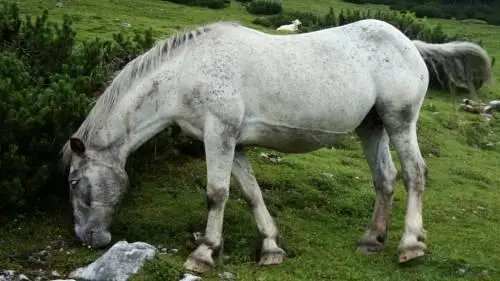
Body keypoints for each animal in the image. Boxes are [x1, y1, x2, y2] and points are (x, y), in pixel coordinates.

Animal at [61, 18, 492, 272]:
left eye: (74, 183)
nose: (89, 238)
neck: (186, 73)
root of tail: (410, 43)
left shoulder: (219, 135)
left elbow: (216, 194)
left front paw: (203, 253)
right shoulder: (232, 142)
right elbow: (251, 193)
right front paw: (270, 247)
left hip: (400, 122)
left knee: (415, 174)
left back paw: (410, 245)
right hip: (373, 128)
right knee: (385, 179)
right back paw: (371, 240)